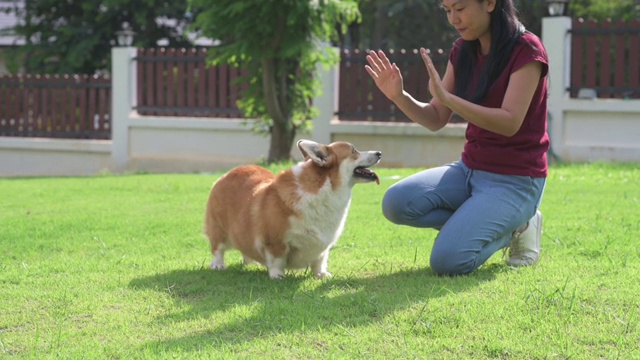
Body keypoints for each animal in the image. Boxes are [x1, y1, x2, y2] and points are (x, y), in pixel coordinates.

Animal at [204, 139, 380, 280]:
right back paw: (218, 265)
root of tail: (228, 173)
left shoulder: (323, 247)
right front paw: (277, 275)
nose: (379, 152)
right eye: (354, 151)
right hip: (218, 229)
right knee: (217, 249)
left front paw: (321, 275)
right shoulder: (276, 241)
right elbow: (277, 260)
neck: (326, 189)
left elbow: (320, 260)